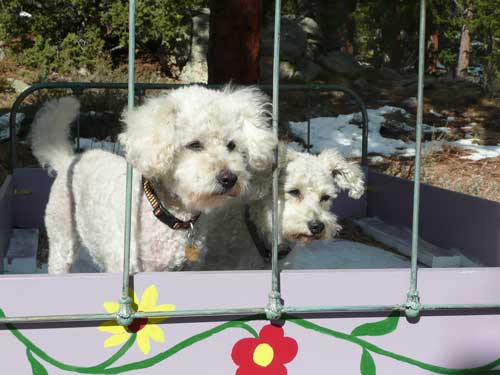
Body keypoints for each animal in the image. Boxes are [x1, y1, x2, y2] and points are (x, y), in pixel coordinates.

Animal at [32, 85, 278, 274]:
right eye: (194, 145)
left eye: (232, 145)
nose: (229, 178)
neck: (168, 214)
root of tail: (68, 159)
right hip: (61, 236)